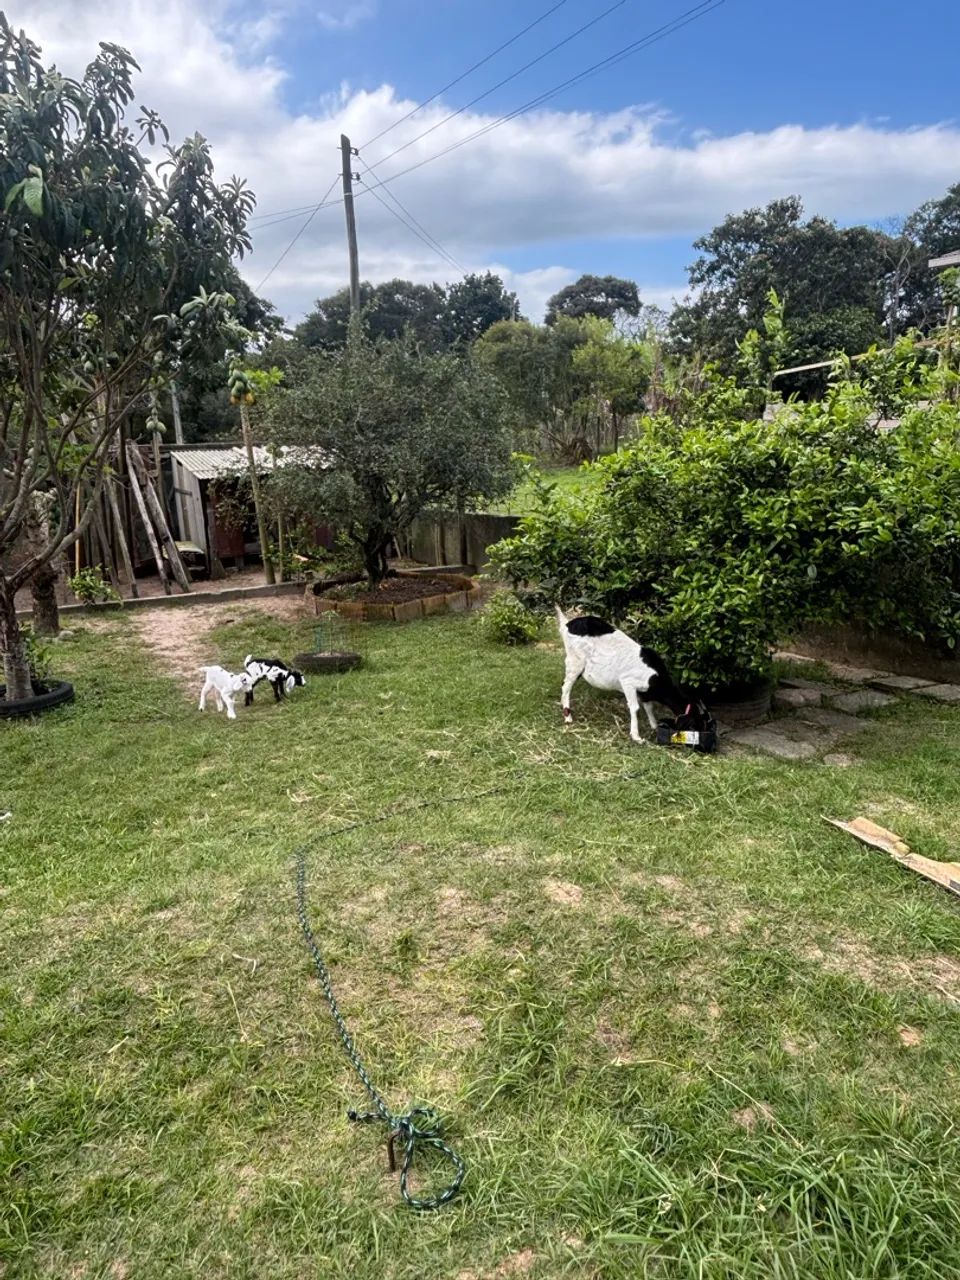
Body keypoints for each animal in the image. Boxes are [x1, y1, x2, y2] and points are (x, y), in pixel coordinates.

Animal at [555, 606, 709, 743]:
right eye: (695, 723)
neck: (656, 678)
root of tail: (567, 624)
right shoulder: (628, 682)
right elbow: (635, 708)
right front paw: (636, 736)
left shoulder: (645, 692)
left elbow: (649, 706)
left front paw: (654, 726)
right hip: (575, 663)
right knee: (566, 687)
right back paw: (568, 717)